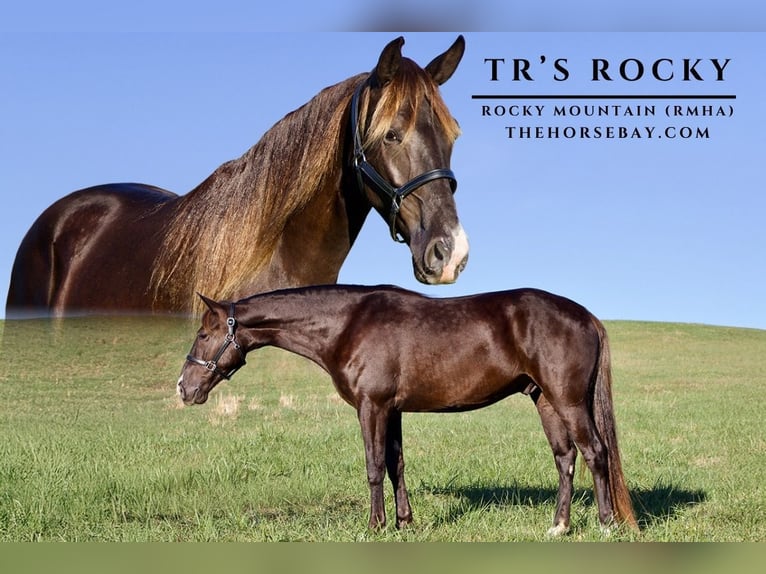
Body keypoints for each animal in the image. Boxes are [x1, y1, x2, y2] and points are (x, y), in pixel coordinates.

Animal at [177, 284, 639, 536]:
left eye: (203, 333)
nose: (184, 388)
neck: (347, 325)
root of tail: (585, 315)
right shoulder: (392, 409)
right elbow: (396, 464)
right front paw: (404, 521)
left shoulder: (371, 407)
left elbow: (373, 466)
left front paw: (375, 525)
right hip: (544, 400)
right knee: (565, 459)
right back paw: (558, 525)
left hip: (568, 400)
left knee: (596, 453)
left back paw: (605, 524)